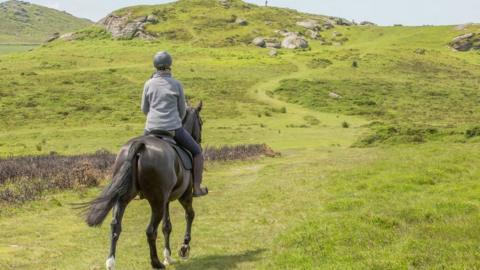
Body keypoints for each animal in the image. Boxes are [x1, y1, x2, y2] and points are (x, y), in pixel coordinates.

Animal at [84, 102, 204, 268]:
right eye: (201, 122)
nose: (199, 141)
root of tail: (140, 145)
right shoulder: (184, 196)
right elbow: (189, 215)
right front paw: (184, 248)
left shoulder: (166, 200)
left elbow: (167, 226)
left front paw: (168, 256)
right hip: (157, 202)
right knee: (150, 230)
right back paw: (156, 263)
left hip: (124, 198)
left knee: (115, 226)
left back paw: (111, 262)